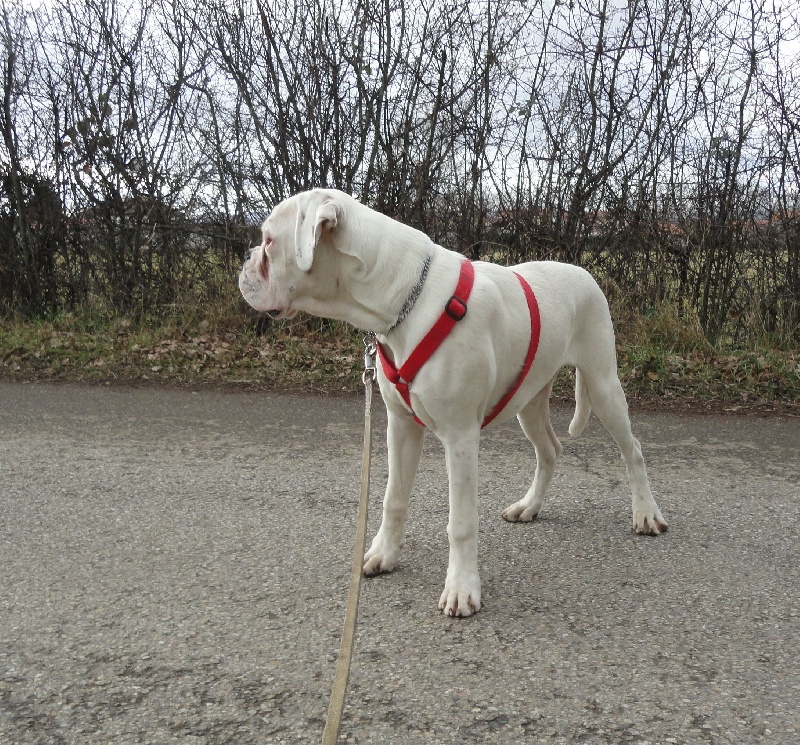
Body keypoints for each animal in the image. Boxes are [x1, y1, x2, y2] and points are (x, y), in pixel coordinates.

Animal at [239, 187, 668, 616]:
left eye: (269, 240)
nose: (245, 259)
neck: (402, 298)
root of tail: (584, 273)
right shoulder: (400, 426)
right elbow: (393, 498)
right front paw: (383, 553)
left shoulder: (460, 437)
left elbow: (460, 523)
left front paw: (462, 588)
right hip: (528, 402)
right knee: (550, 451)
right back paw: (528, 506)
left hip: (603, 386)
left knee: (633, 450)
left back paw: (646, 513)